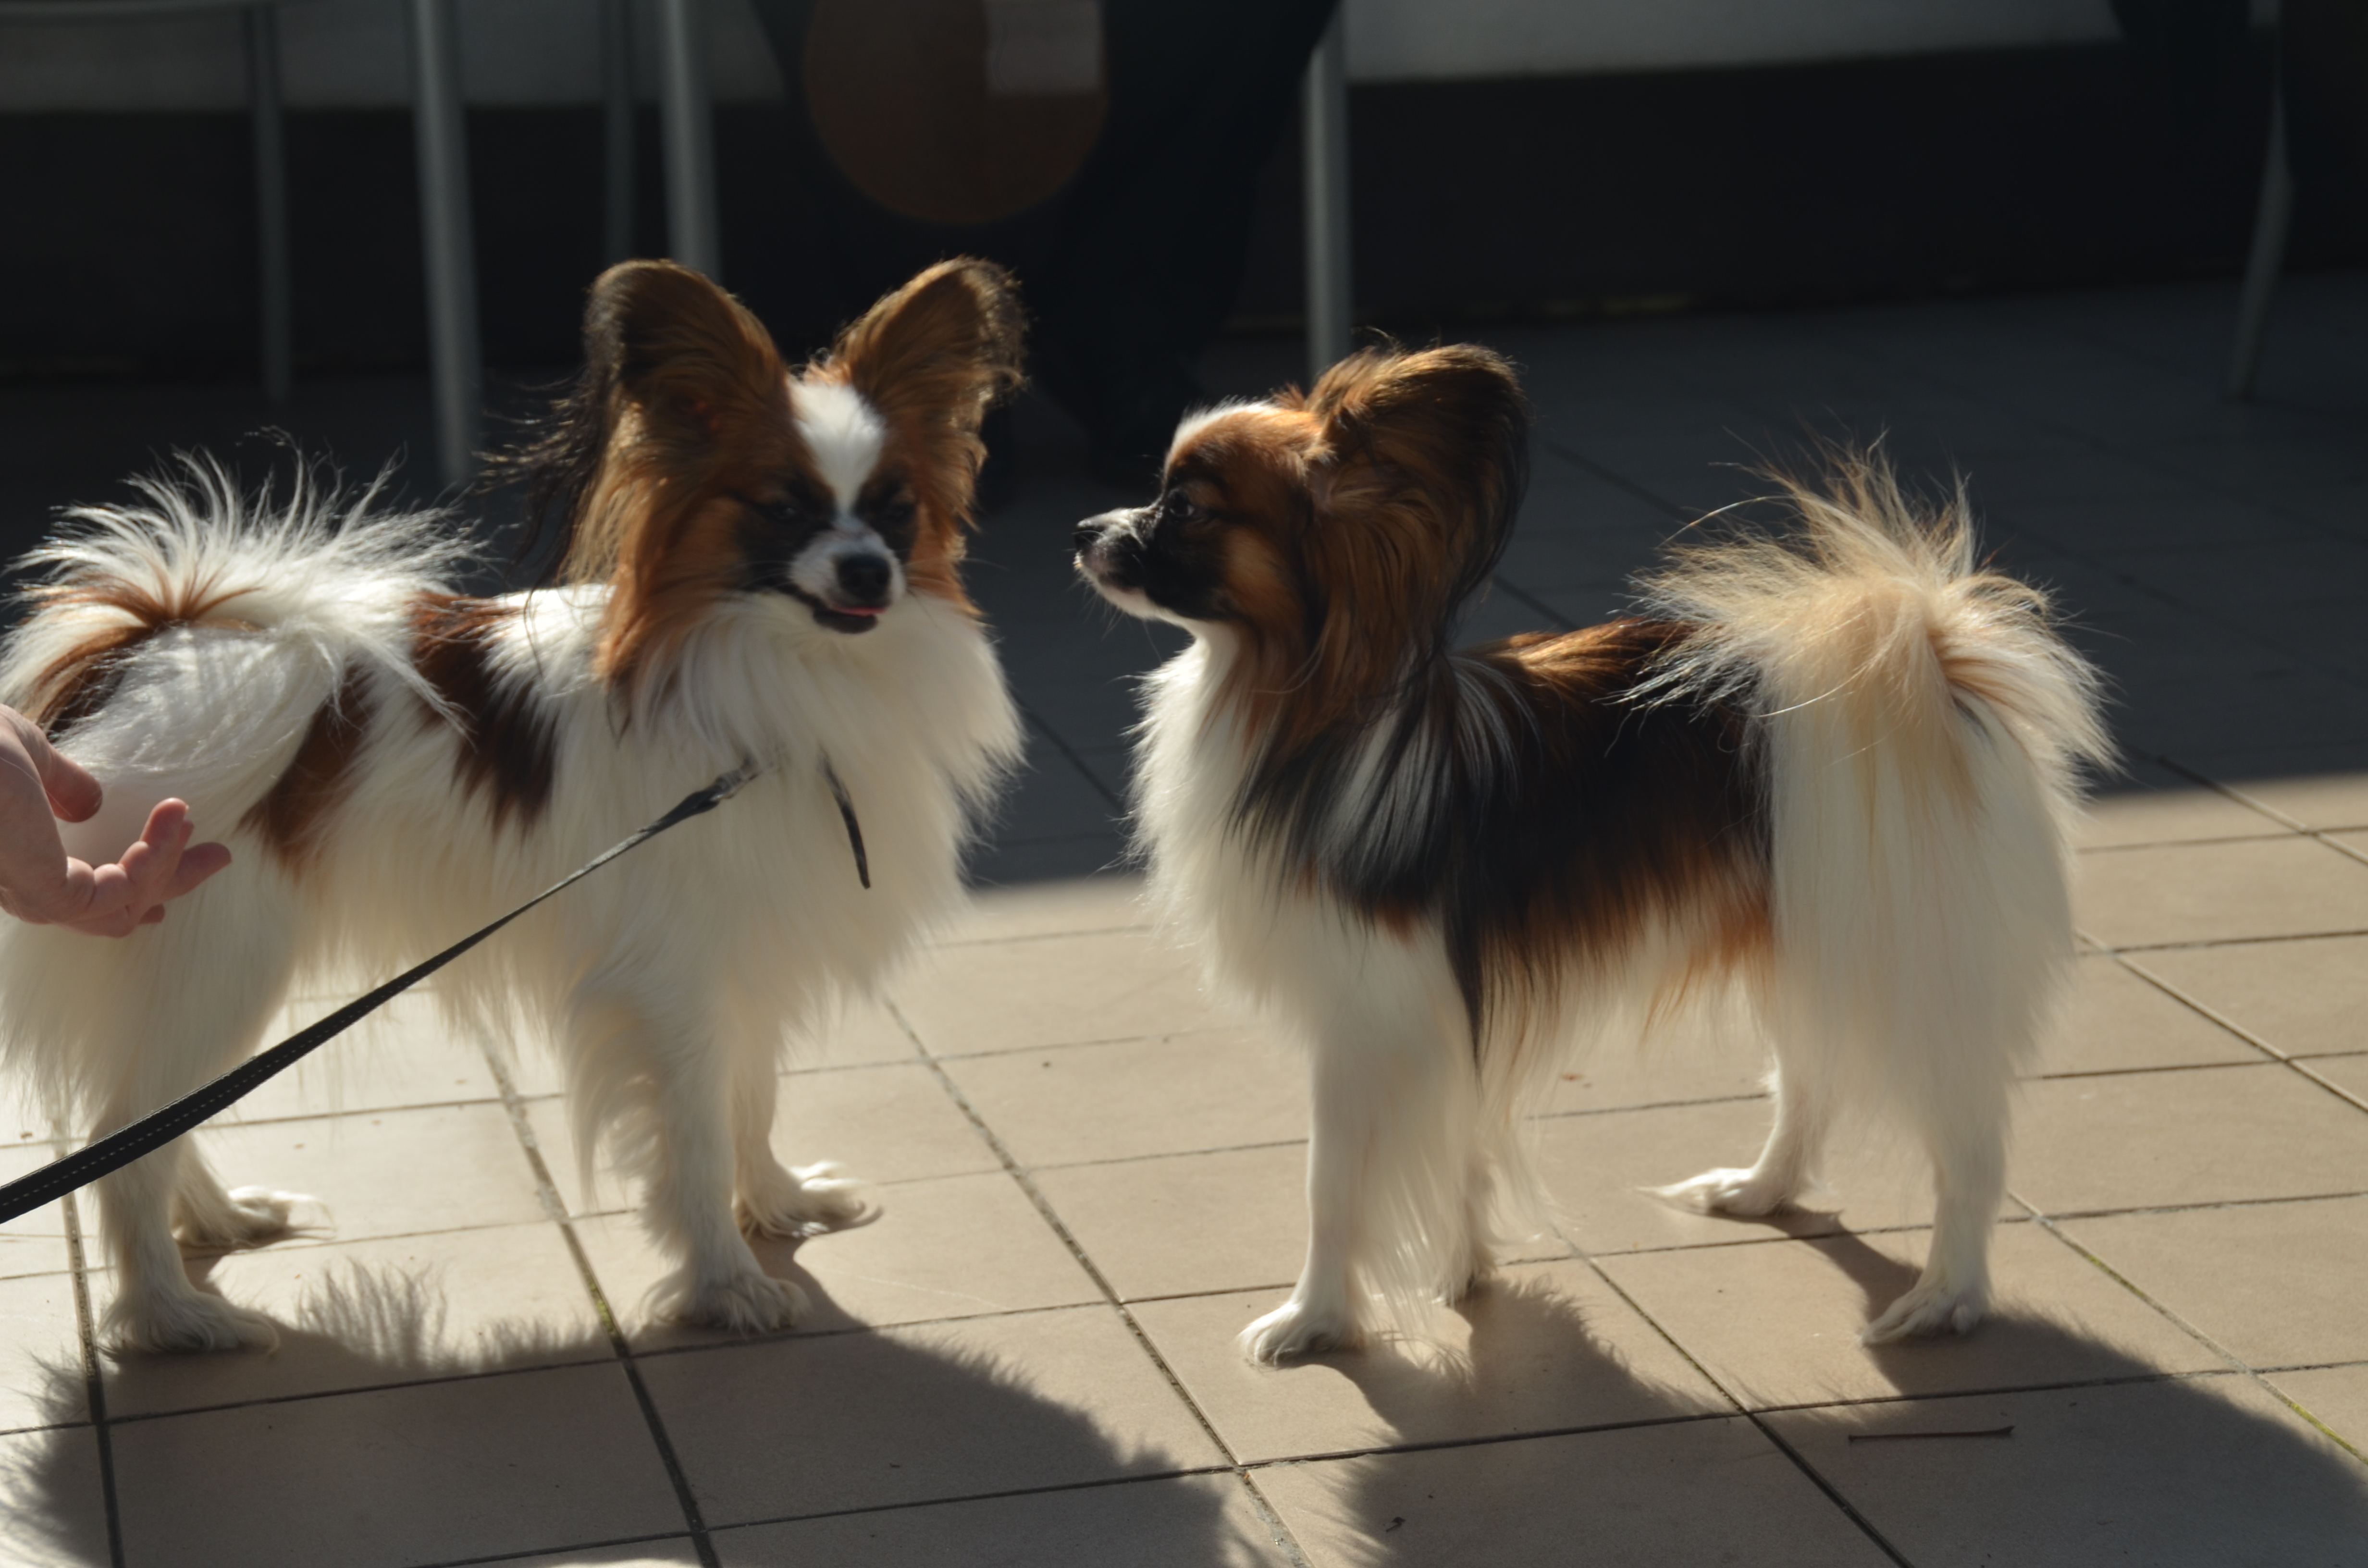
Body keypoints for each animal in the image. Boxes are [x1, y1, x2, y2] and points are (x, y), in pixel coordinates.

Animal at [0, 258, 1025, 1353]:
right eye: (784, 510)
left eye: (896, 508)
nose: (870, 570)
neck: (787, 675)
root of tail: (155, 643)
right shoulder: (674, 981)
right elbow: (697, 1137)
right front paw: (728, 1284)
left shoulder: (744, 955)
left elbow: (750, 1100)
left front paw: (779, 1204)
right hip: (220, 956)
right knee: (122, 1137)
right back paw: (171, 1314)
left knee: (155, 1120)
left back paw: (221, 1219)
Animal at [1074, 345, 2109, 1361]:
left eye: (1185, 508)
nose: (1082, 529)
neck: (1304, 717)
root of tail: (1926, 660)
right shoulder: (1449, 1008)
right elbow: (1460, 1146)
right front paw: (1464, 1268)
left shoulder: (1364, 1021)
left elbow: (1329, 1186)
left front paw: (1315, 1318)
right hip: (1808, 930)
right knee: (1808, 1079)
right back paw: (1760, 1190)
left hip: (1903, 961)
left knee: (1967, 1140)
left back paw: (1948, 1296)